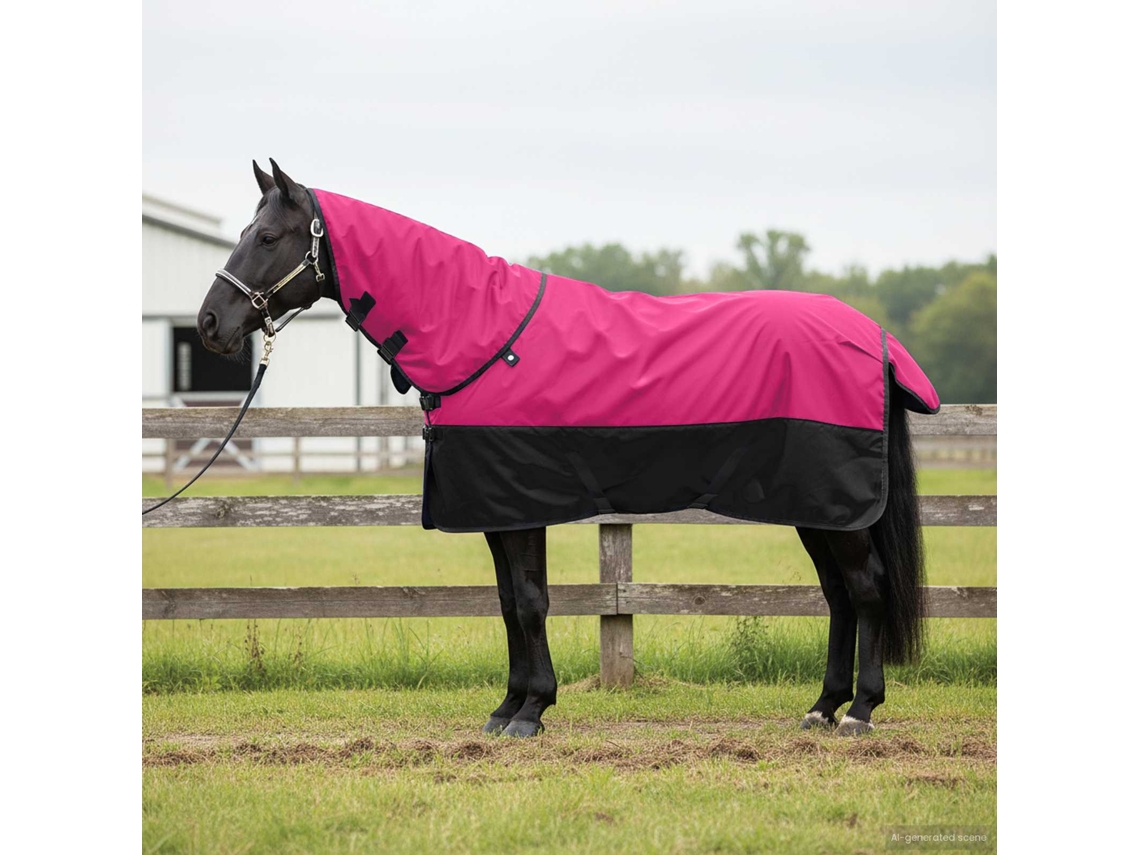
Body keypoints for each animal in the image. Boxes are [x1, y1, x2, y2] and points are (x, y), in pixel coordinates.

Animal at [195, 159, 937, 738]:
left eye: (267, 236)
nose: (209, 324)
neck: (480, 333)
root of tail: (873, 337)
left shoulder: (520, 505)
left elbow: (529, 601)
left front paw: (530, 711)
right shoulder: (496, 509)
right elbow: (507, 602)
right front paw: (508, 707)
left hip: (837, 506)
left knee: (866, 589)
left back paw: (860, 711)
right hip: (818, 508)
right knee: (839, 596)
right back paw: (822, 707)